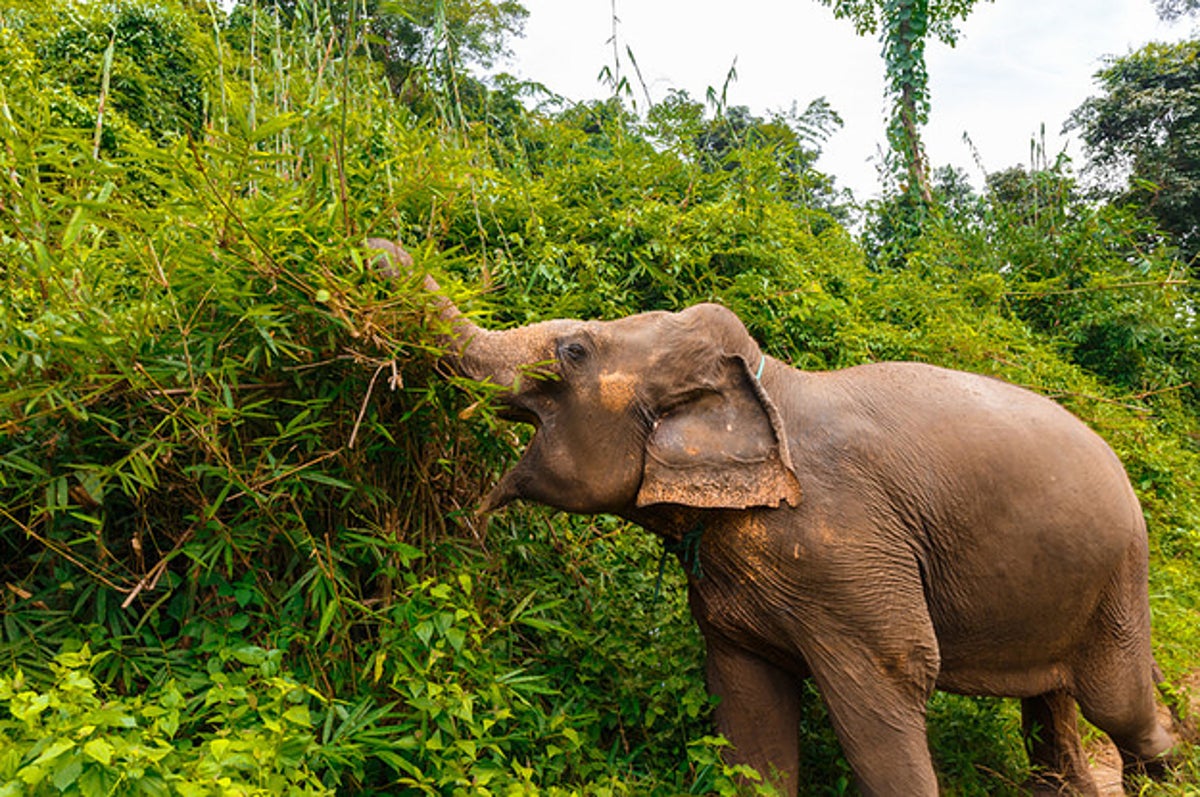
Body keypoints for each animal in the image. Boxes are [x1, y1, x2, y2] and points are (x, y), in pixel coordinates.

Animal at [369, 237, 1176, 797]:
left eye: (571, 351)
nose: (368, 248)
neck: (768, 385)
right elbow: (749, 713)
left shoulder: (852, 557)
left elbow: (890, 692)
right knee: (1054, 697)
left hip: (1120, 573)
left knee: (1118, 703)